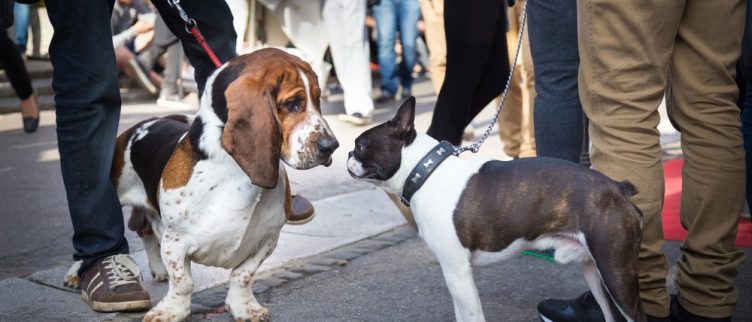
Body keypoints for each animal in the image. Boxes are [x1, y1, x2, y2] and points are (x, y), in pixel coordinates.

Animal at [63, 48, 340, 322]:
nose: (331, 146)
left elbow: (242, 276)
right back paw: (77, 272)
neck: (234, 170)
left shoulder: (267, 241)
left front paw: (244, 307)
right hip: (113, 193)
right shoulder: (176, 241)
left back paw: (157, 269)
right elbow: (183, 282)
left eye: (318, 99)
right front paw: (171, 311)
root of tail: (145, 123)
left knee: (147, 231)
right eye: (292, 104)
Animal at [346, 98, 648, 322]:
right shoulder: (454, 275)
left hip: (615, 271)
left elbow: (472, 317)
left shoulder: (457, 272)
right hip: (594, 272)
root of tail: (618, 188)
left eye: (360, 146)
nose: (347, 154)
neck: (425, 171)